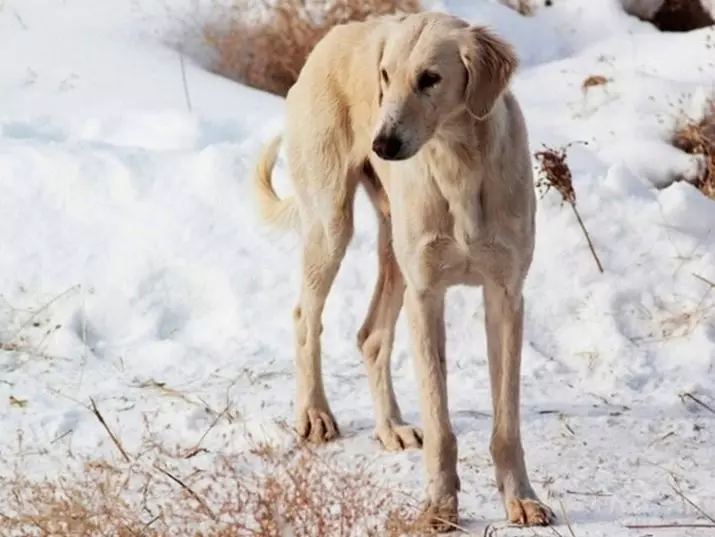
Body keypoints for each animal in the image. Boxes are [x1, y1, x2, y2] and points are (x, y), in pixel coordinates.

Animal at [255, 10, 556, 528]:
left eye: (430, 78)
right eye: (385, 76)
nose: (382, 143)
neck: (458, 164)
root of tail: (332, 35)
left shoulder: (505, 296)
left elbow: (507, 423)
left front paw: (520, 497)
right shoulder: (426, 295)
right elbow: (440, 423)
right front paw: (439, 507)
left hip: (392, 251)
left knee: (371, 336)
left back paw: (391, 426)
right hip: (331, 226)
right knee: (305, 316)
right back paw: (314, 413)